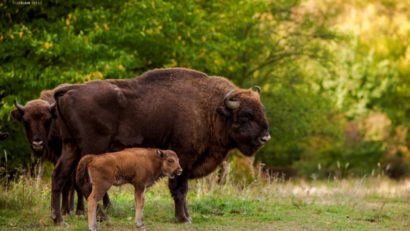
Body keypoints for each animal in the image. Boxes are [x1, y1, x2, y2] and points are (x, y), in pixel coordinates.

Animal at [51, 67, 270, 224]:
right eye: (245, 116)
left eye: (262, 110)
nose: (265, 137)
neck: (210, 108)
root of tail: (69, 90)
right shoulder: (184, 157)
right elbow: (179, 189)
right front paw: (183, 219)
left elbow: (182, 190)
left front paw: (187, 216)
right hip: (92, 150)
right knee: (86, 185)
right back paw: (102, 217)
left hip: (70, 147)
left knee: (59, 176)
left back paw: (59, 219)